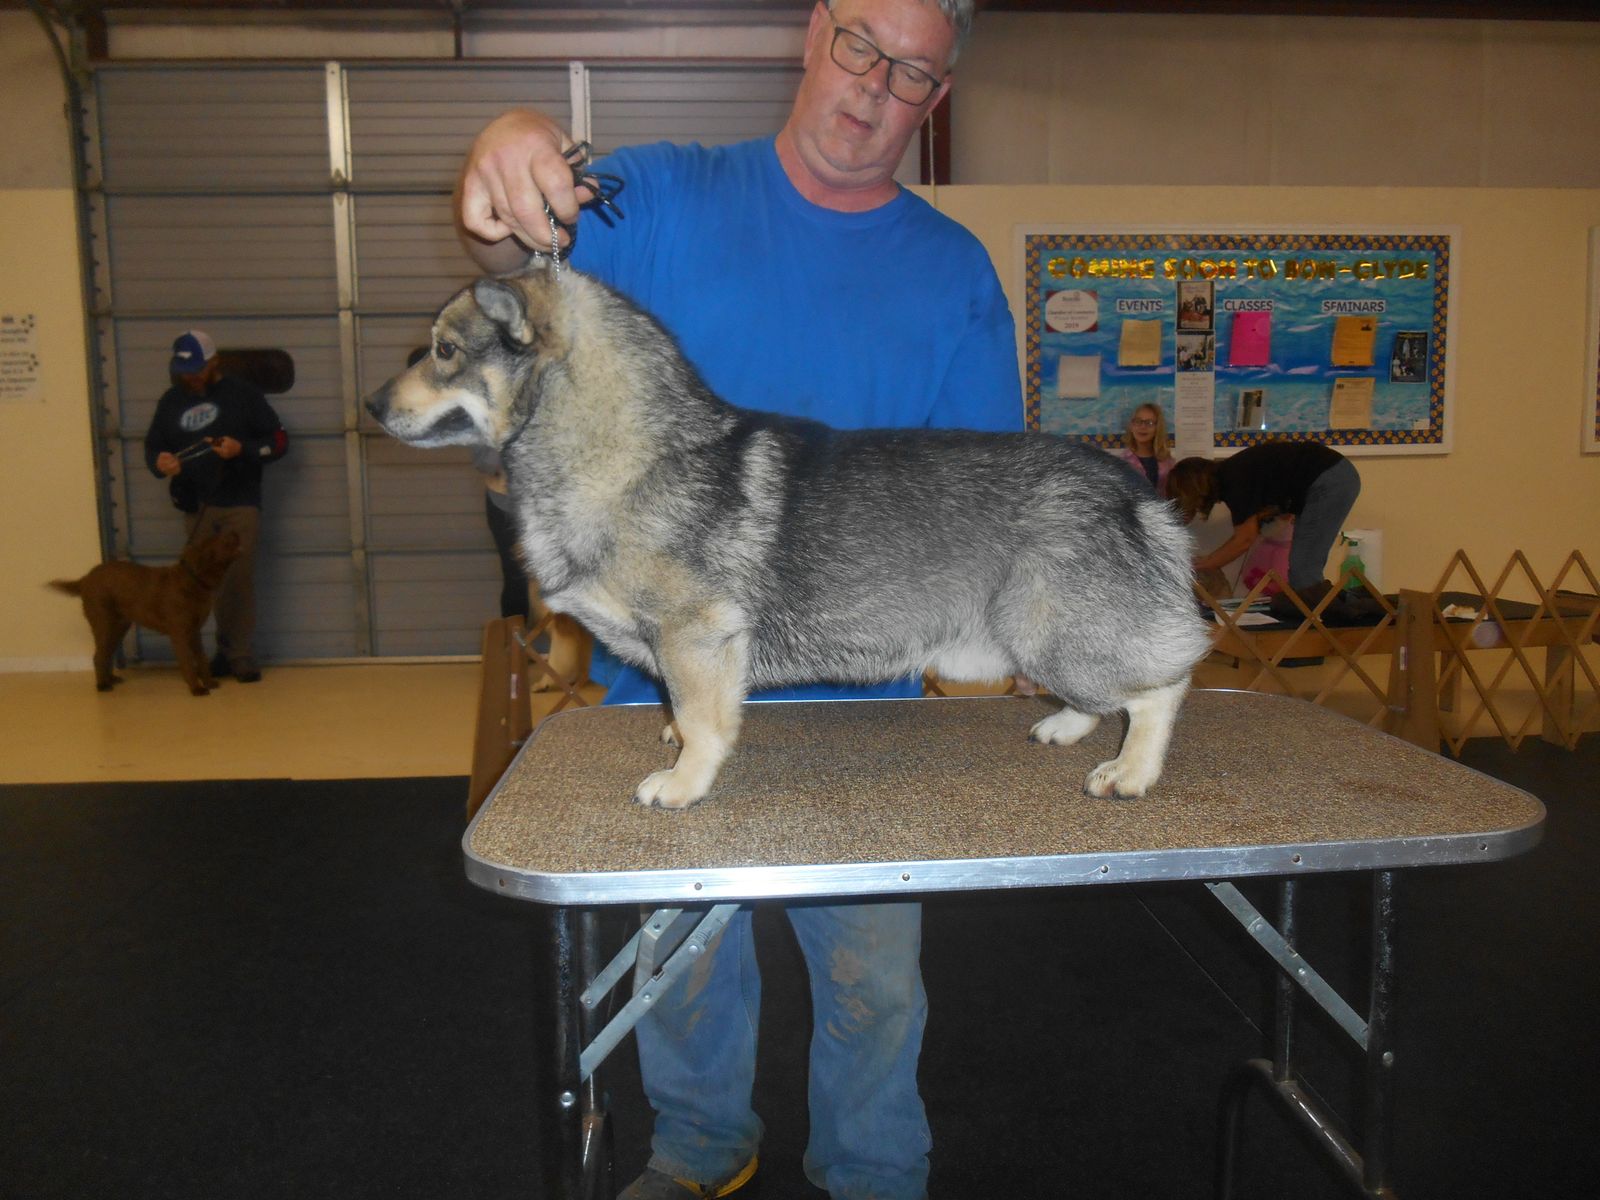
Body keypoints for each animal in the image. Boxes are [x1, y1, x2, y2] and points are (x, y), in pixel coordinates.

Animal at [50, 534, 241, 694]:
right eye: (223, 540)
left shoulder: (195, 632)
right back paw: (102, 685)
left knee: (107, 654)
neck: (194, 581)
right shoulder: (179, 633)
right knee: (98, 656)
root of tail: (85, 579)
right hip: (103, 624)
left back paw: (111, 679)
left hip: (119, 627)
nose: (236, 533)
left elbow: (201, 658)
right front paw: (196, 689)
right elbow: (187, 662)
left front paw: (209, 683)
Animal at [366, 259, 1209, 812]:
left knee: (1161, 688)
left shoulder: (696, 637)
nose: (371, 405)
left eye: (443, 351)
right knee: (1104, 697)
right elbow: (684, 710)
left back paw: (1131, 772)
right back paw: (1067, 727)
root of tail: (1136, 494)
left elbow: (704, 722)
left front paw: (684, 784)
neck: (625, 454)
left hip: (1051, 633)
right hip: (1044, 644)